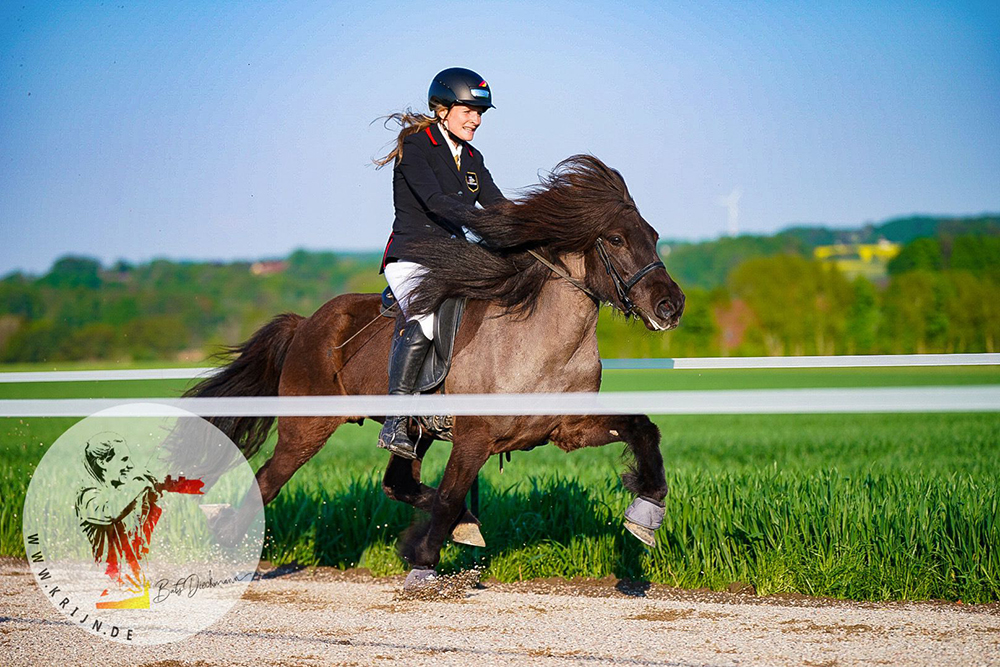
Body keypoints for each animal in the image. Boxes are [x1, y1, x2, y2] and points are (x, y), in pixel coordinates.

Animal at [186, 155, 688, 584]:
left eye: (654, 235)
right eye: (617, 239)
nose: (671, 305)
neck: (543, 346)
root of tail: (305, 323)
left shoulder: (566, 428)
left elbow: (642, 429)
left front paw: (646, 513)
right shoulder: (474, 437)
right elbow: (448, 496)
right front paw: (423, 559)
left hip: (412, 430)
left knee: (397, 483)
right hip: (306, 429)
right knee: (270, 482)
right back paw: (225, 548)